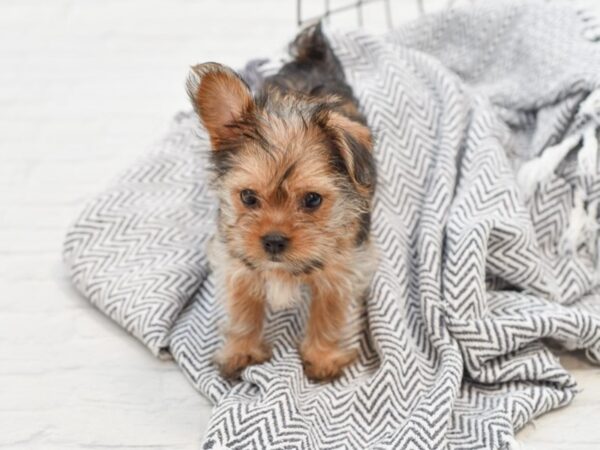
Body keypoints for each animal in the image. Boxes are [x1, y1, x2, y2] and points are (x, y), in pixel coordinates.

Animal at [186, 24, 376, 382]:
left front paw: (323, 356)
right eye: (248, 197)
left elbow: (330, 311)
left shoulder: (342, 265)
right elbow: (243, 307)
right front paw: (243, 350)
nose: (273, 241)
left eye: (312, 200)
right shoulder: (239, 260)